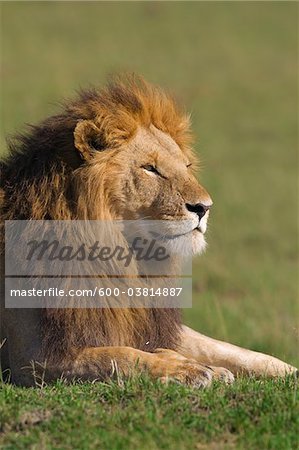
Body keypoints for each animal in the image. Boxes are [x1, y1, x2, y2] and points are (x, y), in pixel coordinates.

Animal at [0, 74, 298, 386]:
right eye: (150, 168)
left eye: (186, 165)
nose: (204, 207)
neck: (124, 262)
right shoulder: (33, 358)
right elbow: (120, 356)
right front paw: (185, 368)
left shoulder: (144, 319)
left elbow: (231, 349)